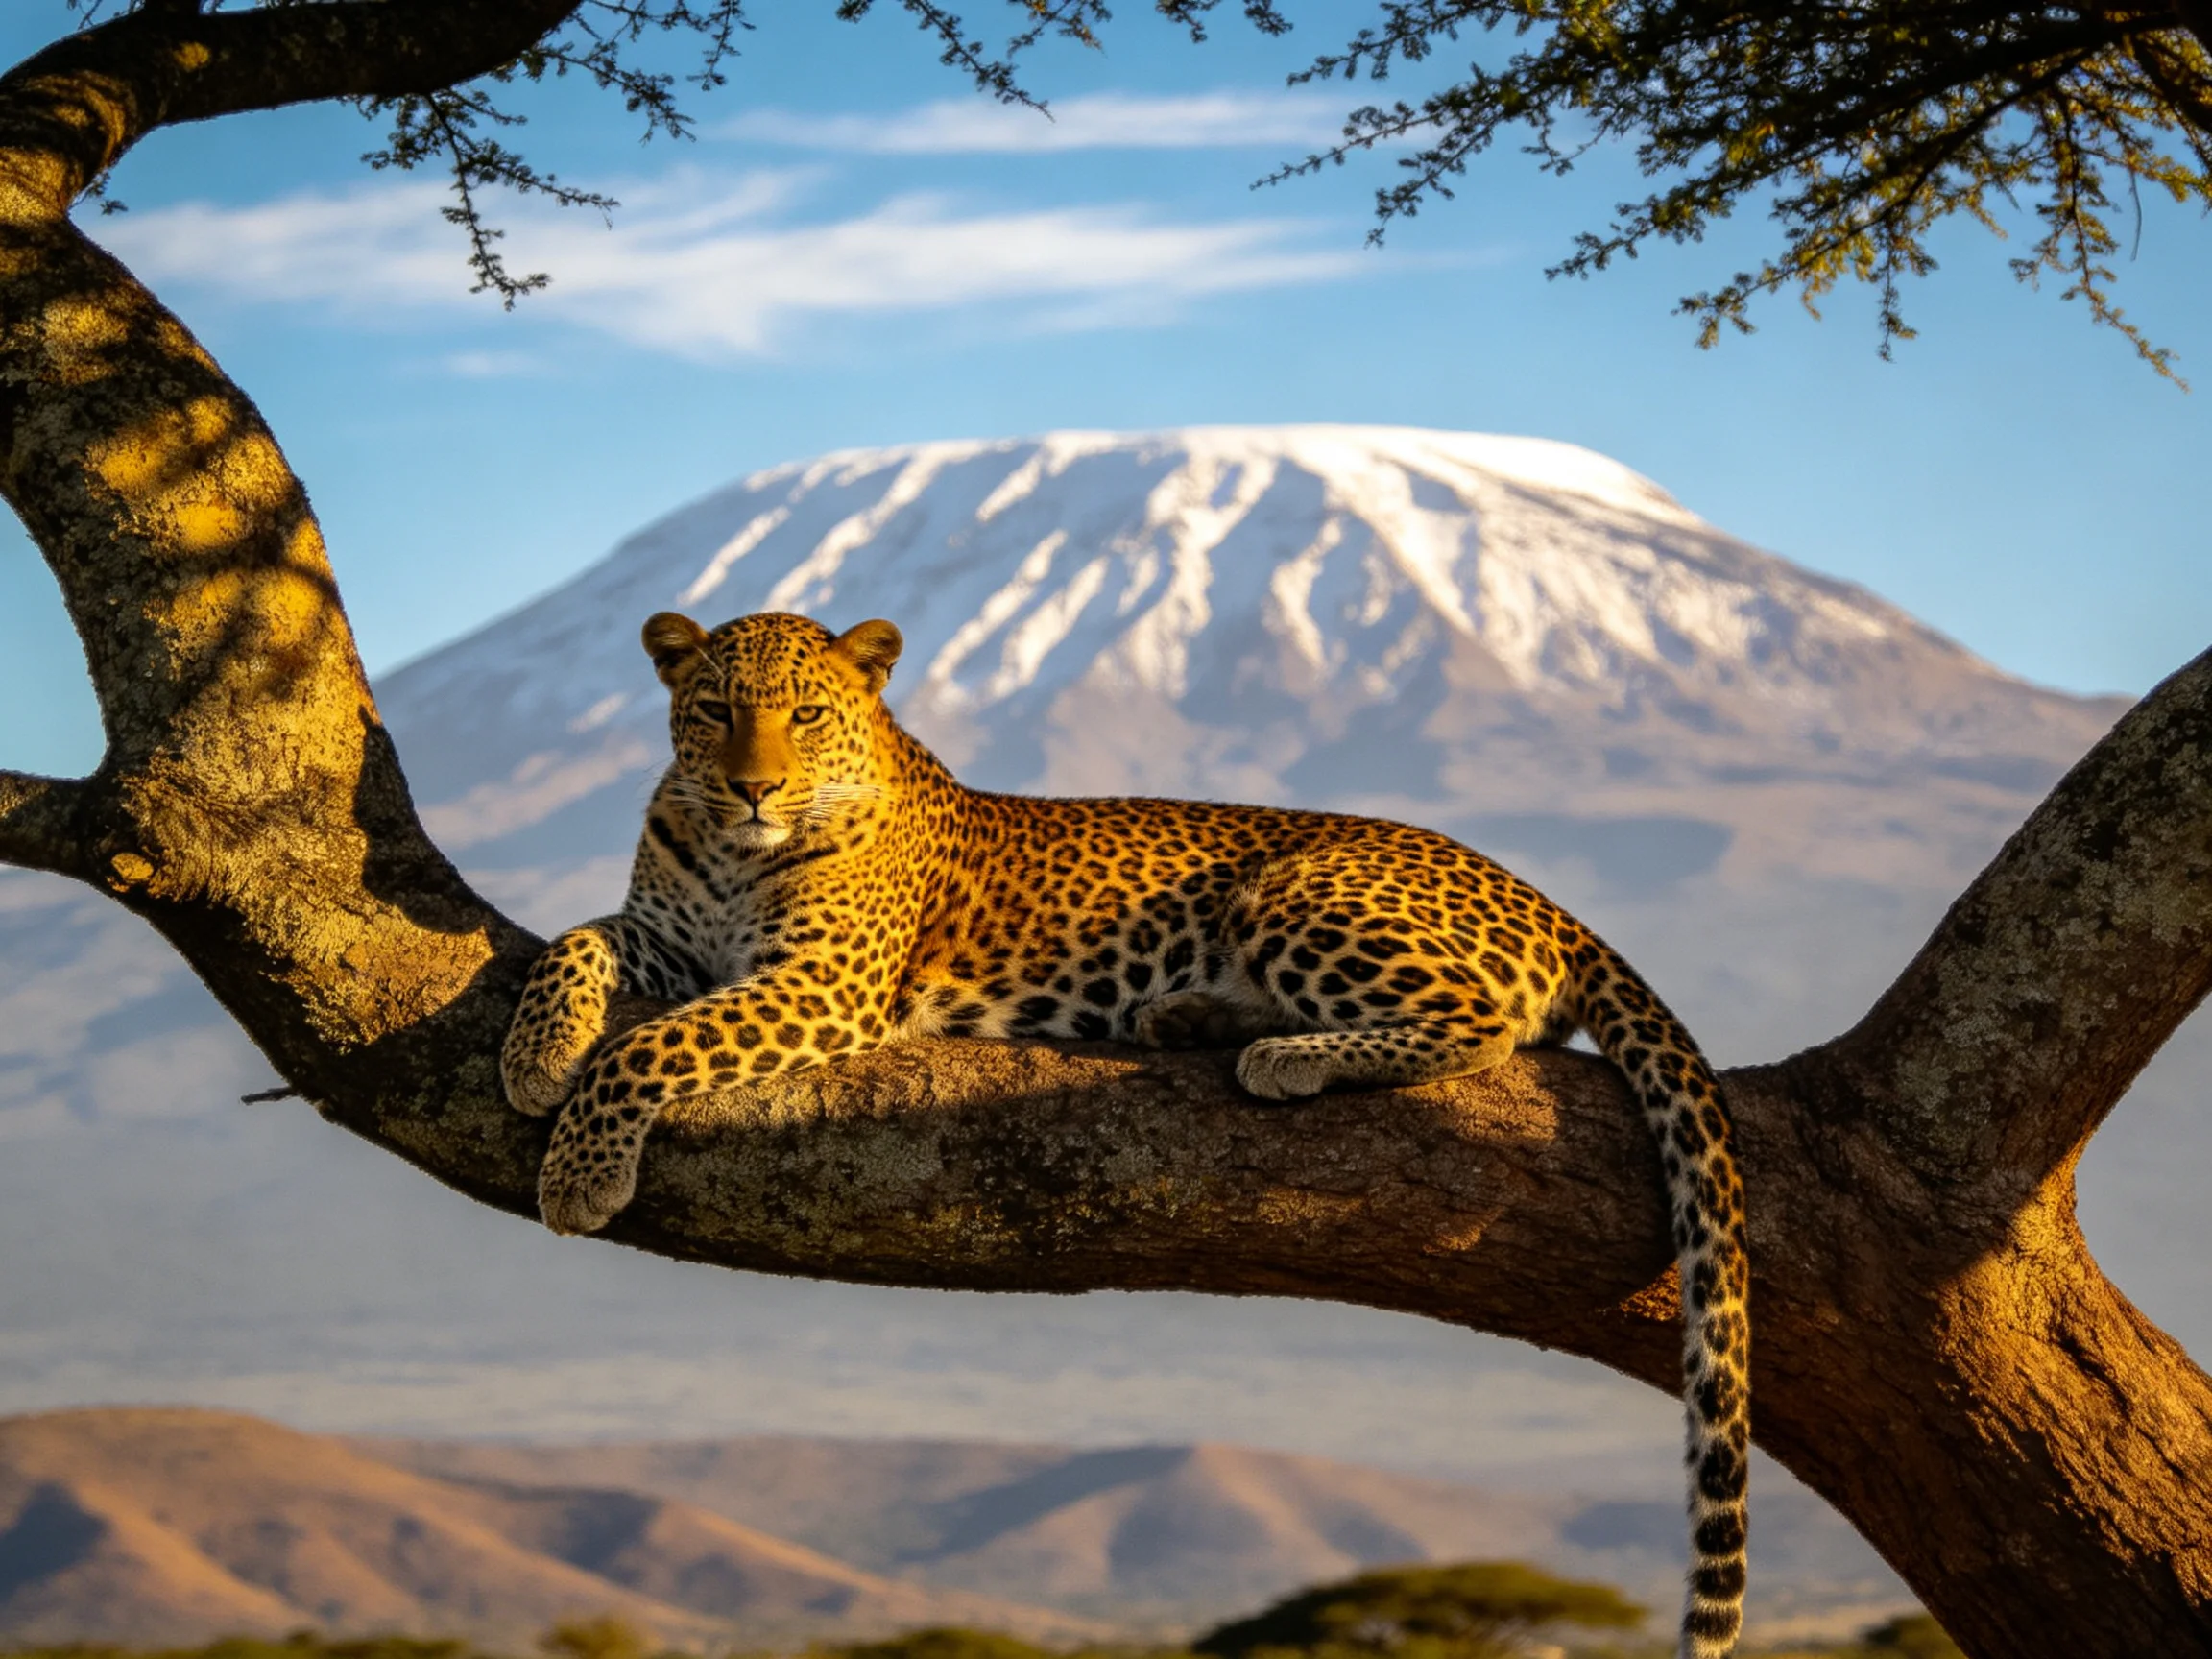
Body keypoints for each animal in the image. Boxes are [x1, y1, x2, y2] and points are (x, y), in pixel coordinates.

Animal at [501, 609, 1752, 1659]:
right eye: (714, 709)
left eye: (805, 714)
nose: (754, 788)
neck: (729, 851)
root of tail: (1541, 895)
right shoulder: (669, 938)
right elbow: (575, 940)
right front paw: (534, 1054)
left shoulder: (823, 985)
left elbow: (652, 1048)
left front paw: (580, 1170)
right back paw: (1191, 1014)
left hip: (1301, 892)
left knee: (1484, 1021)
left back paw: (1284, 1054)